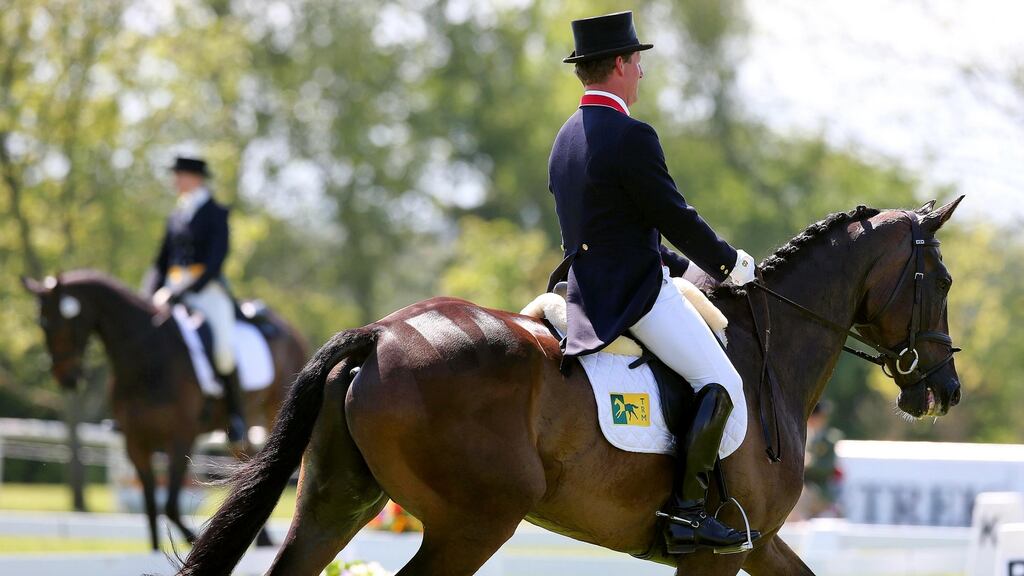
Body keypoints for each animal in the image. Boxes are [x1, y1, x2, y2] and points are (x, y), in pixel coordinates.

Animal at [20, 270, 307, 550]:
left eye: (64, 322)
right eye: (42, 323)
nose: (66, 378)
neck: (147, 360)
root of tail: (288, 328)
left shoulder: (181, 438)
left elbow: (169, 506)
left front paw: (196, 542)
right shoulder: (135, 442)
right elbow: (150, 507)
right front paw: (157, 550)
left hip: (273, 409)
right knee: (248, 462)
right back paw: (262, 537)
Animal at [176, 198, 964, 576]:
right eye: (941, 280)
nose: (944, 388)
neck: (768, 349)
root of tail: (378, 333)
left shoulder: (758, 544)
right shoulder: (716, 553)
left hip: (336, 501)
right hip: (474, 522)